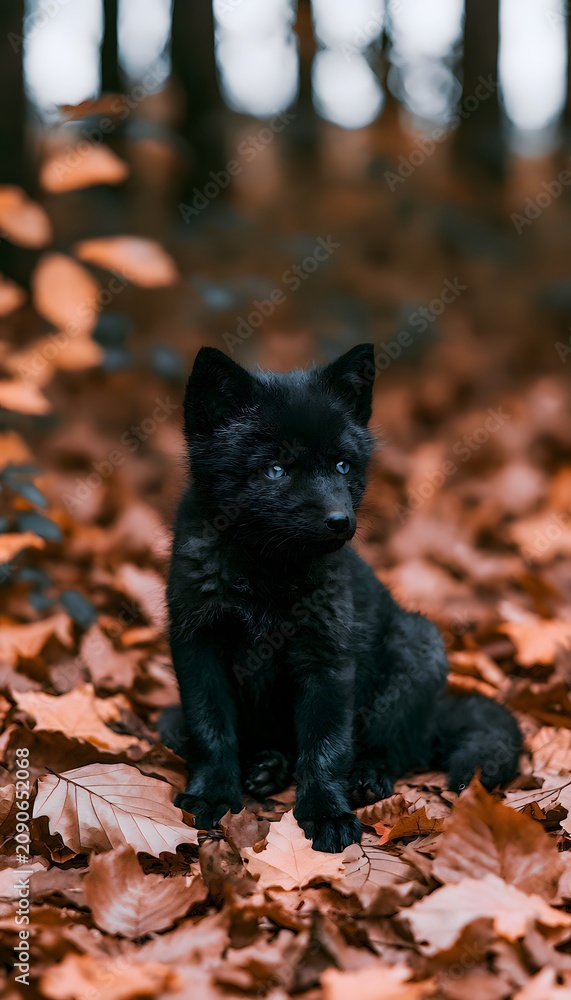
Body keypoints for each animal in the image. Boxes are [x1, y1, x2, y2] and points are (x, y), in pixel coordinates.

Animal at [162, 343, 521, 852]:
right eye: (275, 470)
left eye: (342, 466)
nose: (340, 522)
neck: (265, 577)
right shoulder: (198, 645)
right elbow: (212, 732)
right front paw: (212, 796)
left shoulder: (326, 656)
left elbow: (326, 747)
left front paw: (326, 814)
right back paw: (268, 767)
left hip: (418, 645)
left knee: (395, 748)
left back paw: (365, 779)